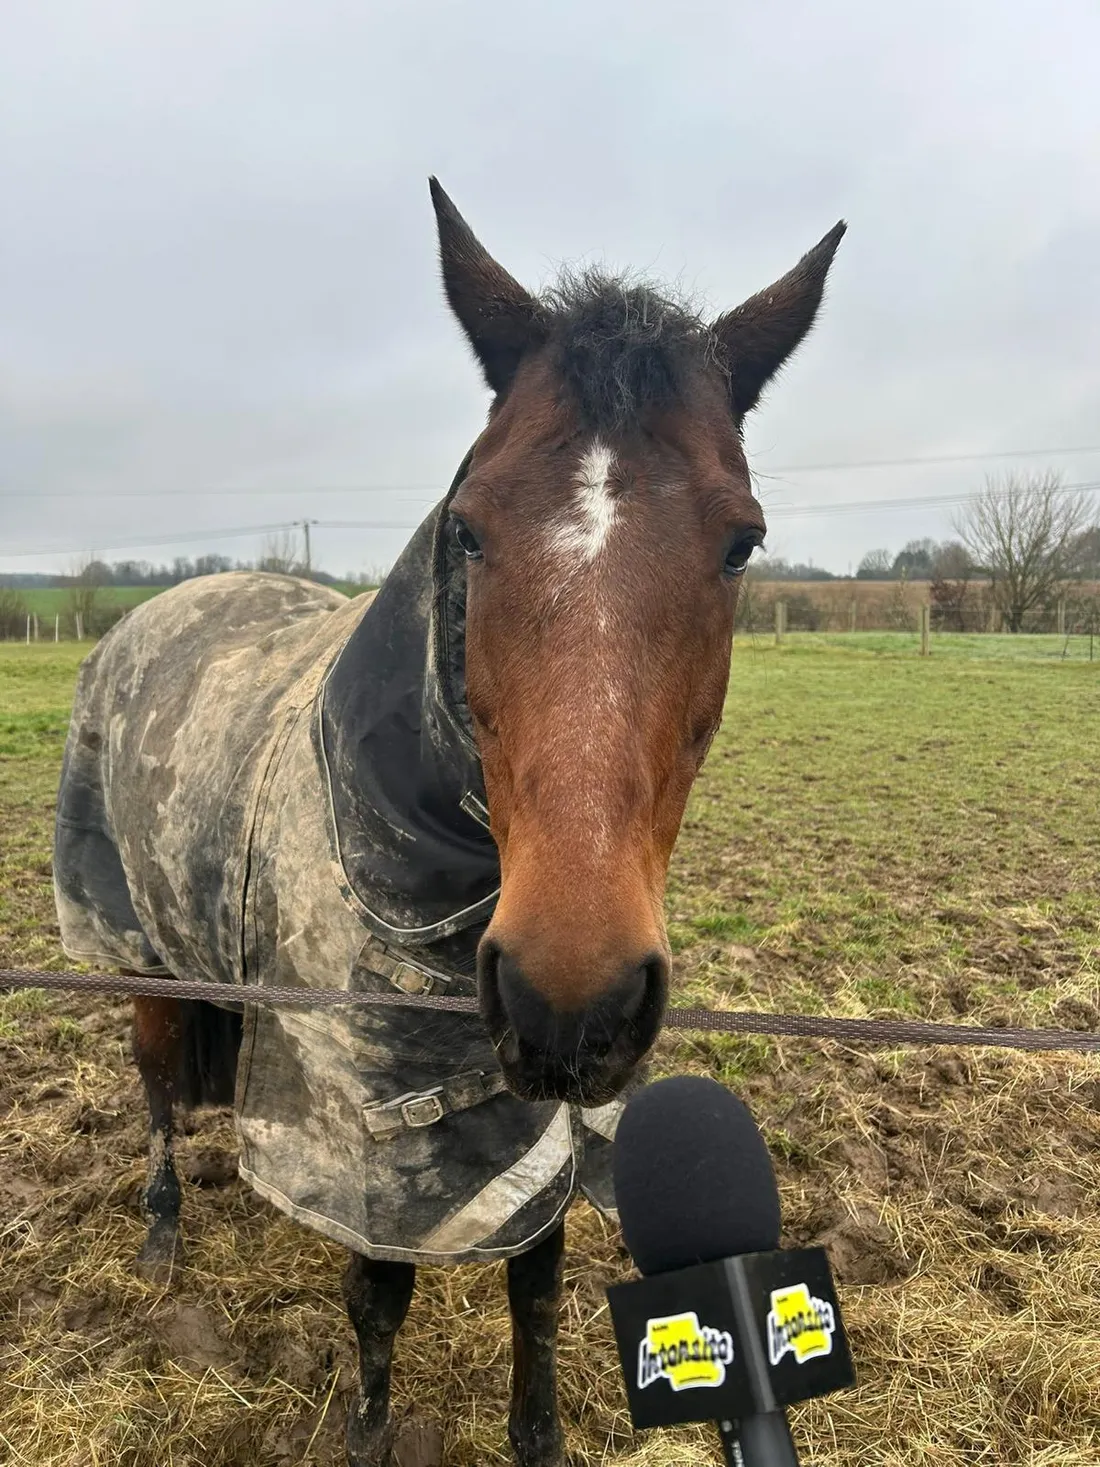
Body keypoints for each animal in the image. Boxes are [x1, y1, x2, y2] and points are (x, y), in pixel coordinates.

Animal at [52, 179, 844, 1467]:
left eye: (741, 543)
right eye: (466, 530)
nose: (572, 990)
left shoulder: (547, 1102)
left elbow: (536, 1278)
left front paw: (539, 1436)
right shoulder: (371, 1123)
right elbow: (379, 1291)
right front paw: (368, 1435)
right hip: (137, 952)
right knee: (160, 1088)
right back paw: (162, 1238)